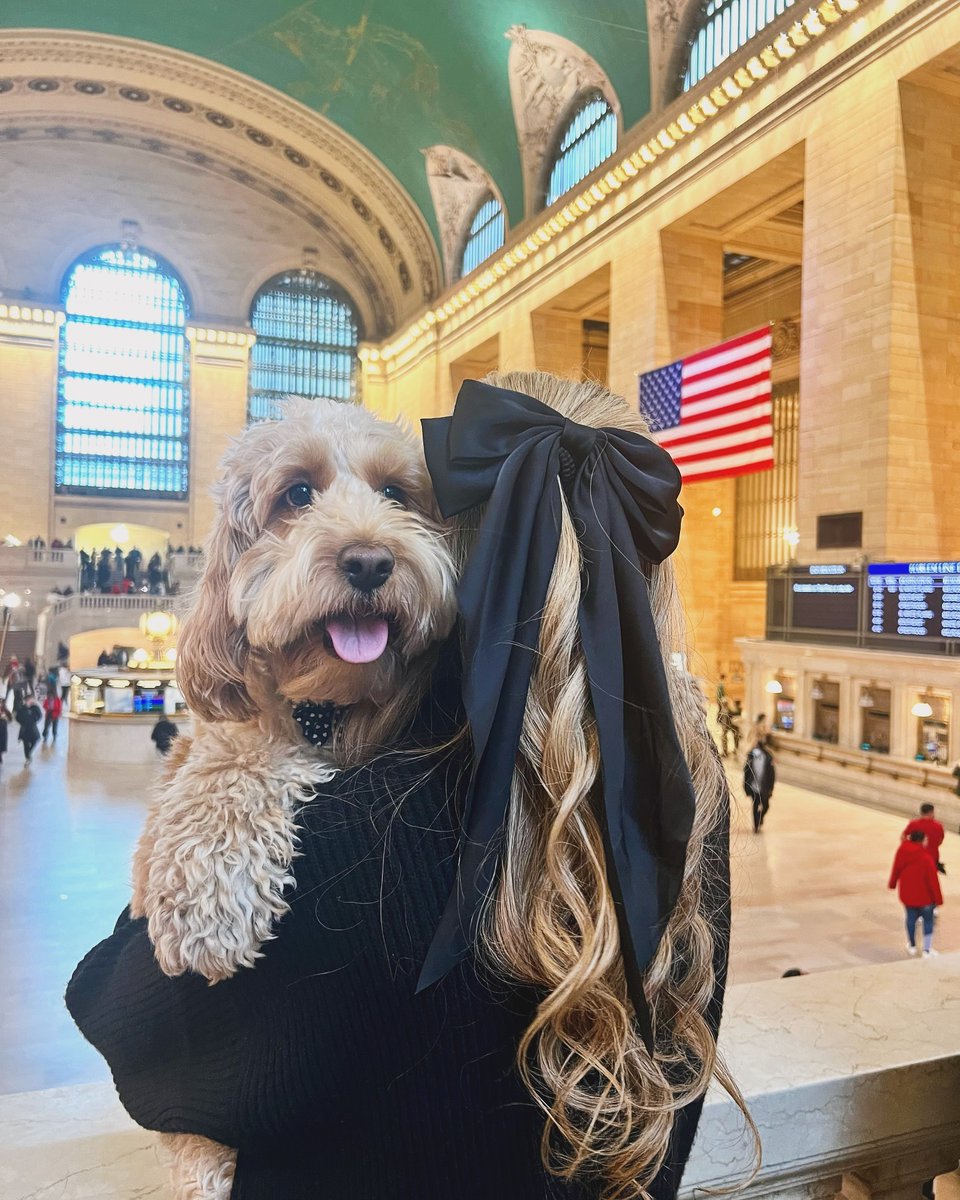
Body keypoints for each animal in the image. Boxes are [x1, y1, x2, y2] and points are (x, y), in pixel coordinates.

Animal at [131, 400, 458, 1200]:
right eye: (297, 494)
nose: (370, 561)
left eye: (397, 494)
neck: (325, 708)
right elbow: (235, 749)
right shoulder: (223, 741)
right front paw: (208, 900)